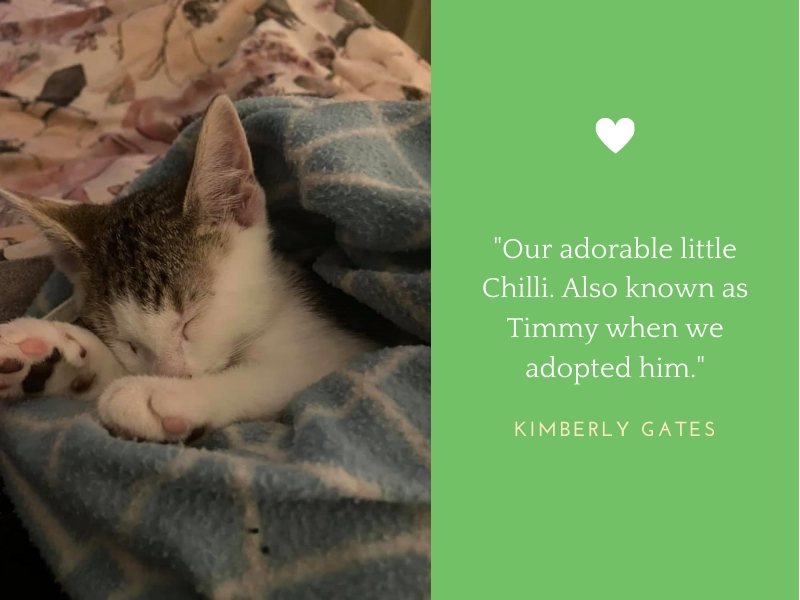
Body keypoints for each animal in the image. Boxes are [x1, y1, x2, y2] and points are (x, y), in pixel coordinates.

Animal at [0, 95, 379, 442]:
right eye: (130, 344)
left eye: (192, 320)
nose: (176, 377)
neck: (271, 311)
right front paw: (53, 356)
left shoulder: (343, 352)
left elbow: (286, 374)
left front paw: (167, 394)